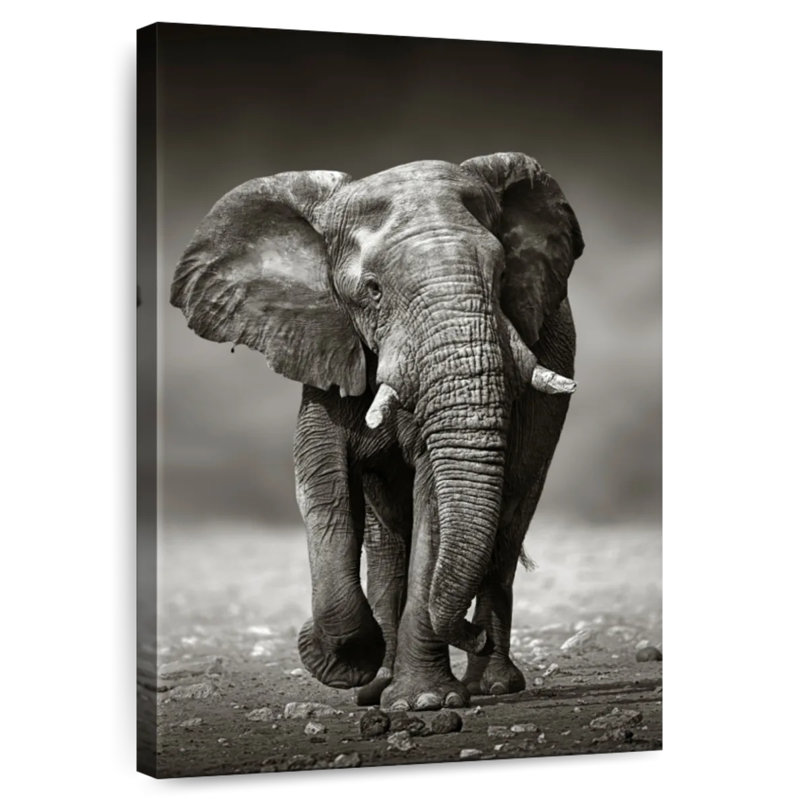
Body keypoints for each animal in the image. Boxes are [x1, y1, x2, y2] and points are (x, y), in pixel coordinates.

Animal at [171, 152, 584, 711]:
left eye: (501, 278)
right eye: (372, 290)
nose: (473, 635)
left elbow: (435, 502)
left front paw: (424, 702)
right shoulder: (326, 344)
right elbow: (322, 482)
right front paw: (346, 663)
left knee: (509, 518)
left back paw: (491, 685)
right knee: (387, 537)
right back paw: (376, 686)